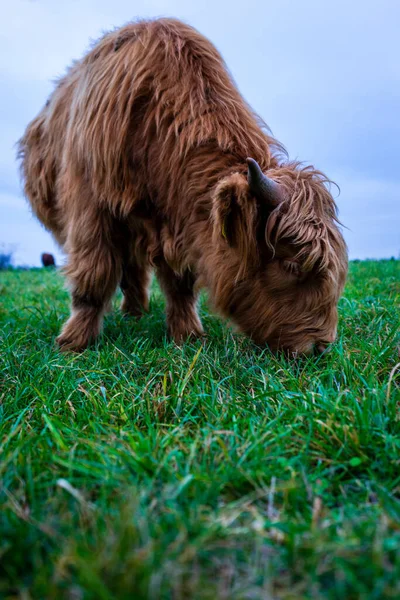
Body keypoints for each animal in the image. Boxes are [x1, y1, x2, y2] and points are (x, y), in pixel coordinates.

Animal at [17, 17, 346, 356]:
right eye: (291, 263)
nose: (320, 345)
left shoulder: (178, 222)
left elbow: (180, 283)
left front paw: (187, 335)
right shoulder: (91, 209)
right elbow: (94, 273)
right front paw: (74, 342)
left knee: (134, 267)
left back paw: (136, 312)